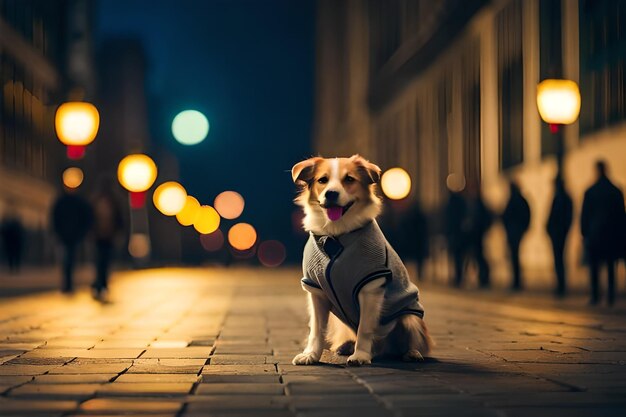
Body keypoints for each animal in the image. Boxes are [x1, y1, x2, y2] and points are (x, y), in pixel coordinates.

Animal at [290, 155, 432, 364]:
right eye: (322, 180)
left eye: (349, 179)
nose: (331, 193)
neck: (335, 236)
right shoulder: (316, 292)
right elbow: (316, 330)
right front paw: (311, 355)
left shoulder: (370, 287)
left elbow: (365, 328)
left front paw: (361, 355)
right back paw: (346, 346)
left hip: (410, 316)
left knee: (411, 339)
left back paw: (411, 353)